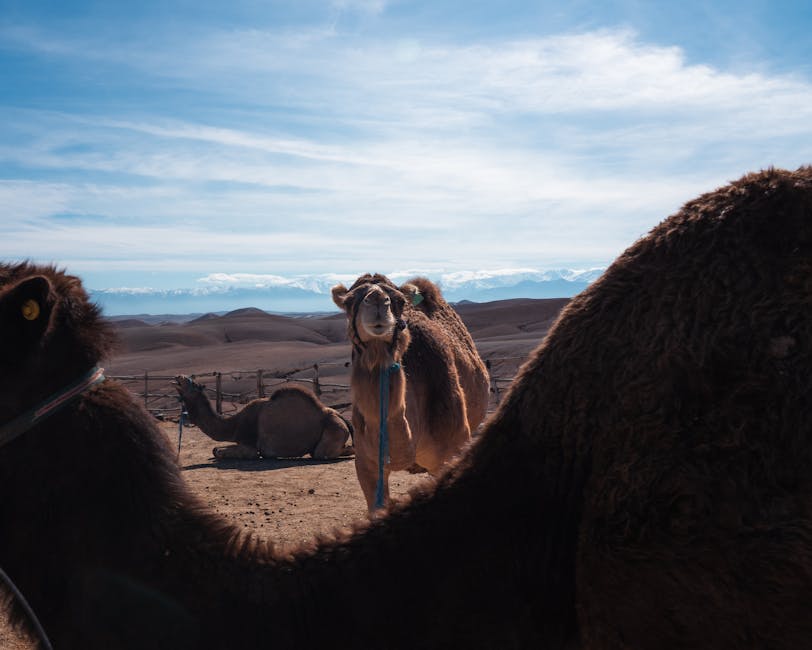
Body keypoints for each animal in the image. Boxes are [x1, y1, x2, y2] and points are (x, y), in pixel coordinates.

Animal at [173, 375, 353, 460]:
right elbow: (215, 449)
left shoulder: (251, 446)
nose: (179, 377)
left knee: (321, 453)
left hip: (334, 427)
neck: (234, 424)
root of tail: (341, 417)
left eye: (194, 384)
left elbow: (221, 451)